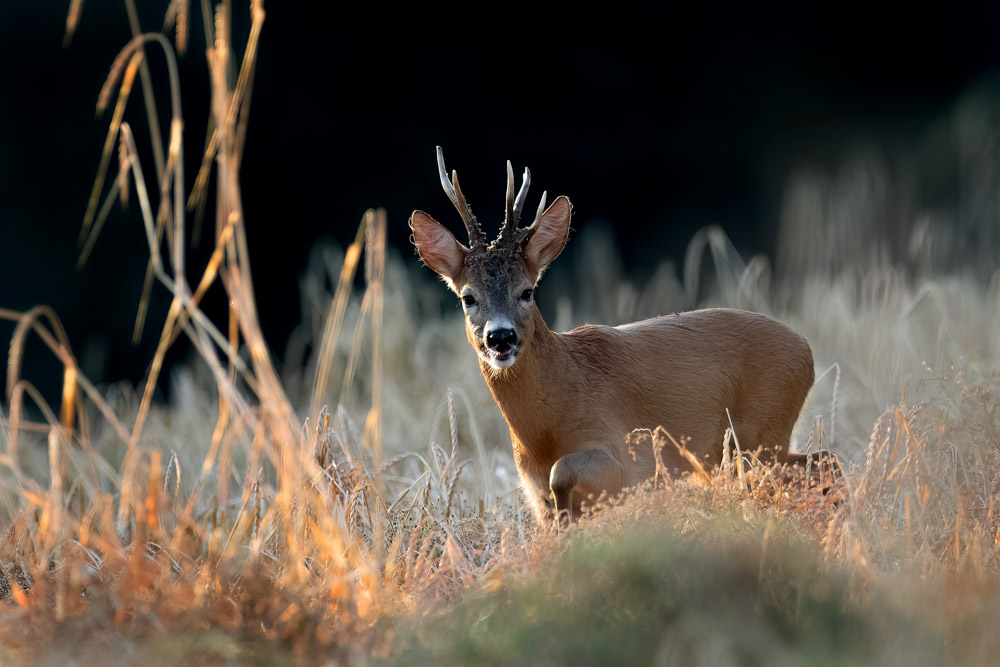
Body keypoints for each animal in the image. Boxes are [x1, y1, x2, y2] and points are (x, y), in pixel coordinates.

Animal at [409, 147, 821, 525]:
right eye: (468, 298)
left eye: (527, 291)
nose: (500, 338)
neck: (542, 431)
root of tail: (807, 352)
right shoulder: (530, 486)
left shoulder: (617, 448)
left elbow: (564, 474)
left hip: (758, 433)